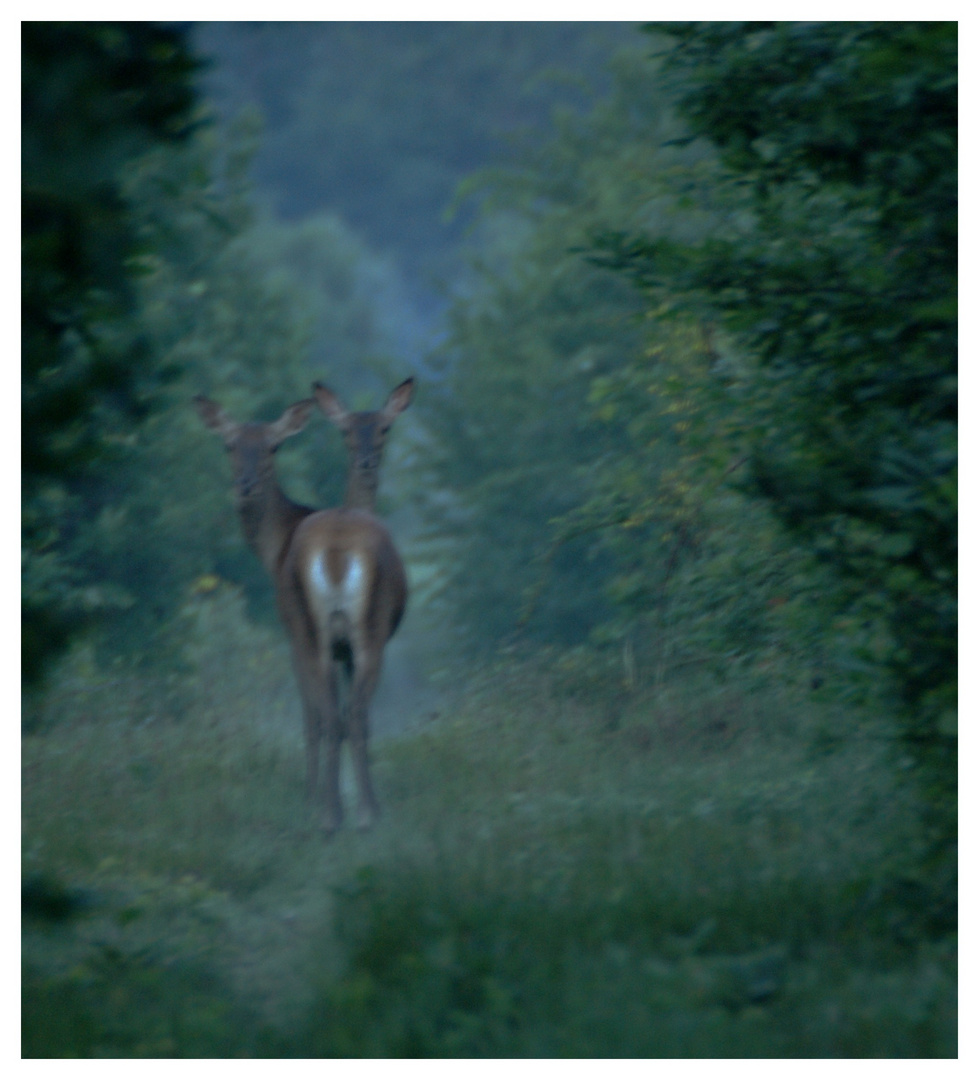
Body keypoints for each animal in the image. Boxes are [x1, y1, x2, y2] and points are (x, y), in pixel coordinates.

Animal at [194, 380, 412, 833]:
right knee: (350, 715)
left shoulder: (293, 636)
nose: (244, 485)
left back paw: (339, 814)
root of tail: (337, 552)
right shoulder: (331, 648)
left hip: (324, 631)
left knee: (335, 716)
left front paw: (309, 797)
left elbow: (312, 719)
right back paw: (353, 813)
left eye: (273, 446)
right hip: (353, 633)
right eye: (229, 444)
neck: (274, 549)